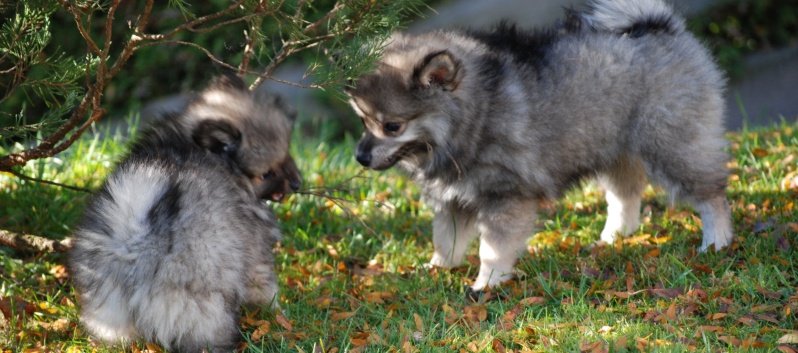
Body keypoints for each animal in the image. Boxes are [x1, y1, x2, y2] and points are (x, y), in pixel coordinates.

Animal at [68, 75, 300, 350]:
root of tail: (137, 248)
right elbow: (265, 288)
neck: (194, 146)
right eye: (267, 174)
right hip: (204, 310)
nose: (297, 183)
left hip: (107, 315)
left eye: (287, 154)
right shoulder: (257, 256)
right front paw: (277, 313)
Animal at [350, 0, 736, 292]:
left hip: (672, 144)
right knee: (625, 195)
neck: (475, 115)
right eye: (362, 120)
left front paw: (486, 284)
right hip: (610, 146)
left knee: (711, 193)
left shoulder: (505, 196)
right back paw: (613, 237)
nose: (360, 157)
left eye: (392, 126)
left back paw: (716, 242)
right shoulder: (454, 200)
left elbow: (492, 249)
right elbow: (446, 241)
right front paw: (437, 269)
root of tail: (661, 26)